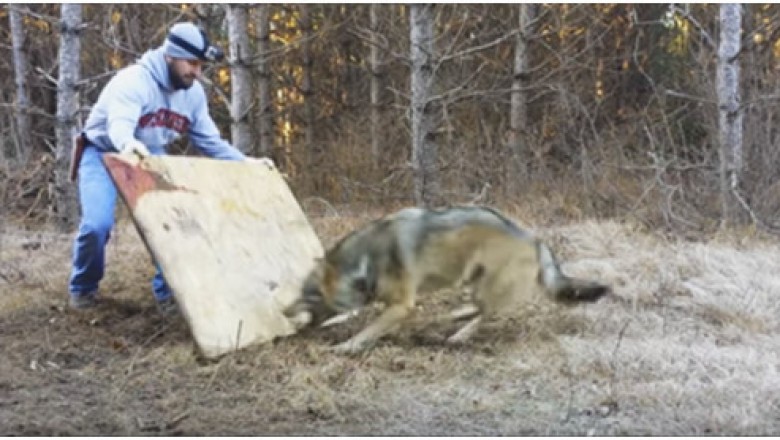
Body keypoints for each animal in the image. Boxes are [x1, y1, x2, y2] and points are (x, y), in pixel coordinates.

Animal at [286, 206, 608, 354]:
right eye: (305, 293)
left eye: (314, 297)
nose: (287, 313)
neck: (365, 262)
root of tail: (535, 239)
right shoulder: (396, 306)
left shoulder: (402, 306)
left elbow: (368, 330)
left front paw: (346, 347)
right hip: (475, 282)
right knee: (479, 309)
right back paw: (454, 317)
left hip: (488, 287)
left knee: (488, 313)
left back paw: (459, 335)